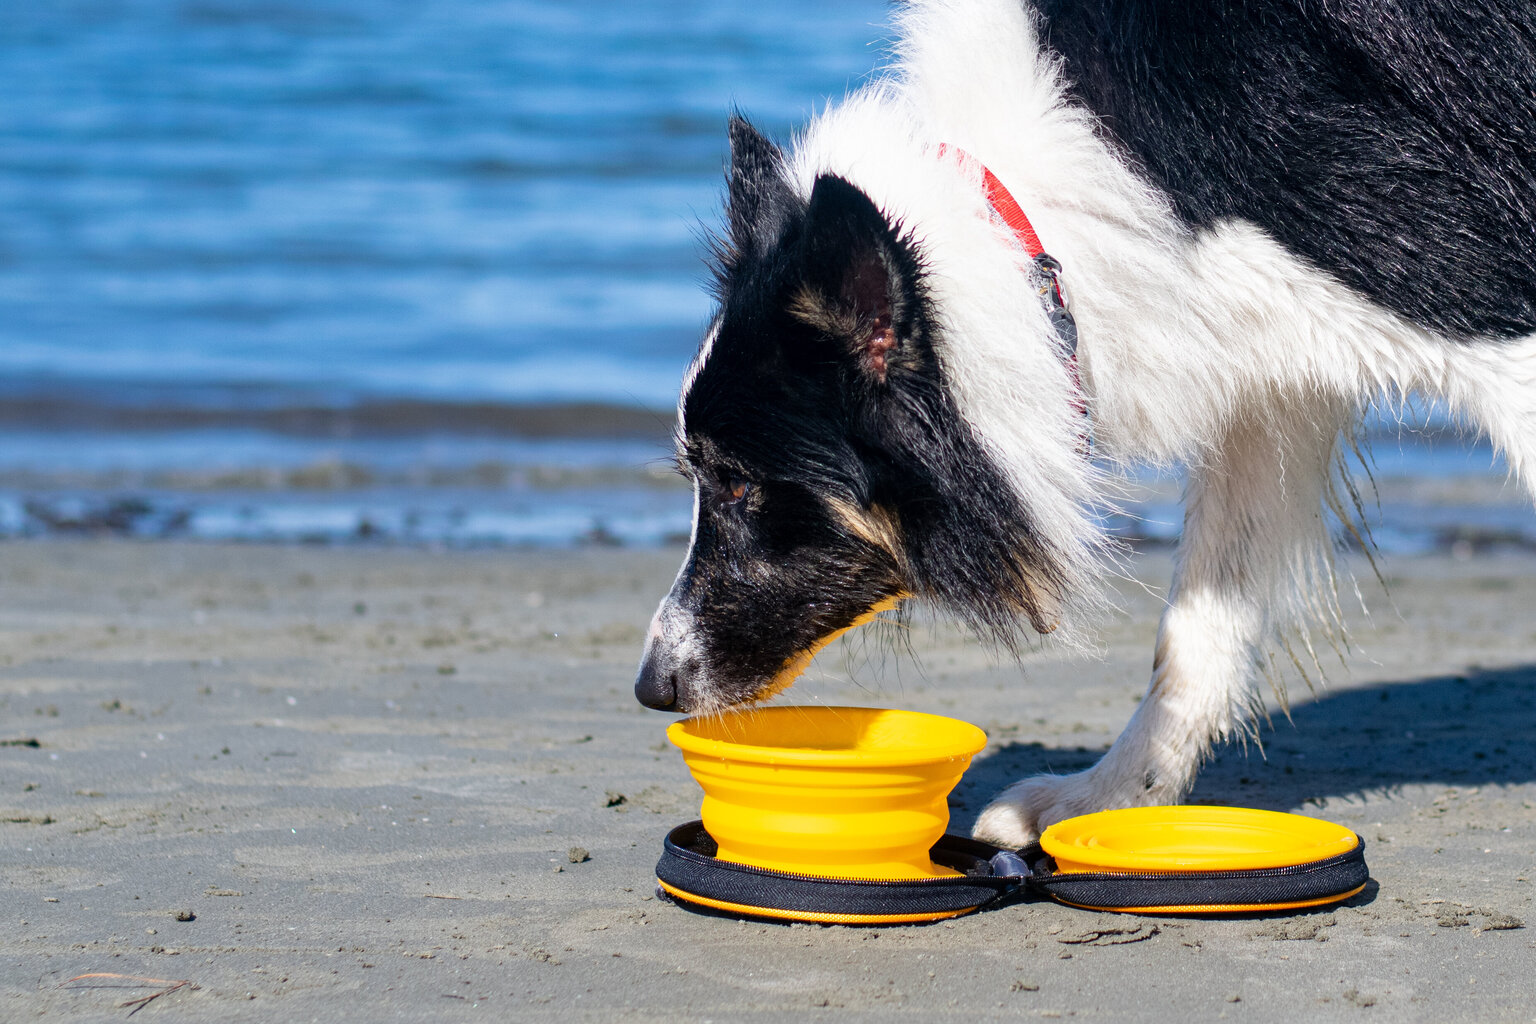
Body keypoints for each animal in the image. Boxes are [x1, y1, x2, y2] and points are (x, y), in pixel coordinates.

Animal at [629, 0, 1536, 847]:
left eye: (738, 483)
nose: (651, 687)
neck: (1037, 232)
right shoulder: (1266, 378)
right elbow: (1198, 626)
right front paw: (1108, 798)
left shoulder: (1479, 297)